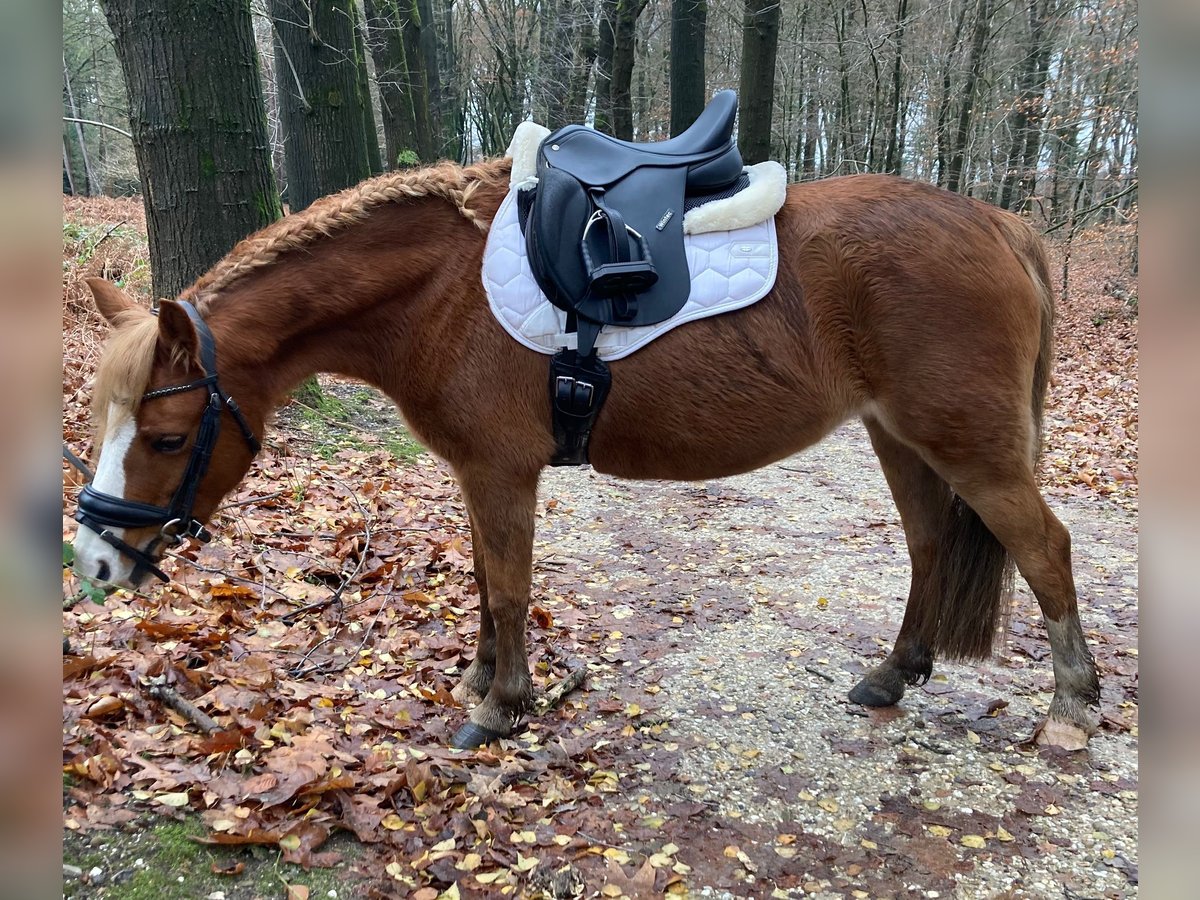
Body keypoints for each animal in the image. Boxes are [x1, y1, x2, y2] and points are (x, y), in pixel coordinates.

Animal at [65, 158, 1099, 748]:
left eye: (165, 437)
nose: (96, 562)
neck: (441, 292)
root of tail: (998, 224)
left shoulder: (500, 471)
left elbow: (508, 587)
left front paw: (498, 708)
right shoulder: (475, 475)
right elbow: (485, 579)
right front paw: (483, 680)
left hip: (973, 448)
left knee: (1045, 550)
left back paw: (1070, 713)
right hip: (903, 438)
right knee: (931, 545)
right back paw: (893, 675)